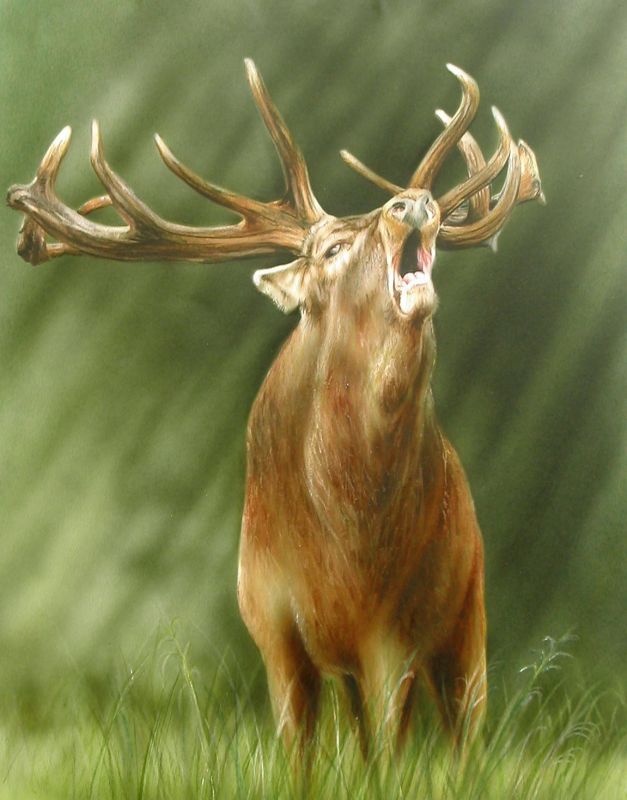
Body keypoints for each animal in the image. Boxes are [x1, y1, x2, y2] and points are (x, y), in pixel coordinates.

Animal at [7, 59, 543, 757]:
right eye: (332, 249)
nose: (411, 201)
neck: (350, 537)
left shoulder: (396, 633)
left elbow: (394, 756)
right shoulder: (271, 623)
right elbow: (302, 754)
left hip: (467, 612)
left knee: (462, 737)